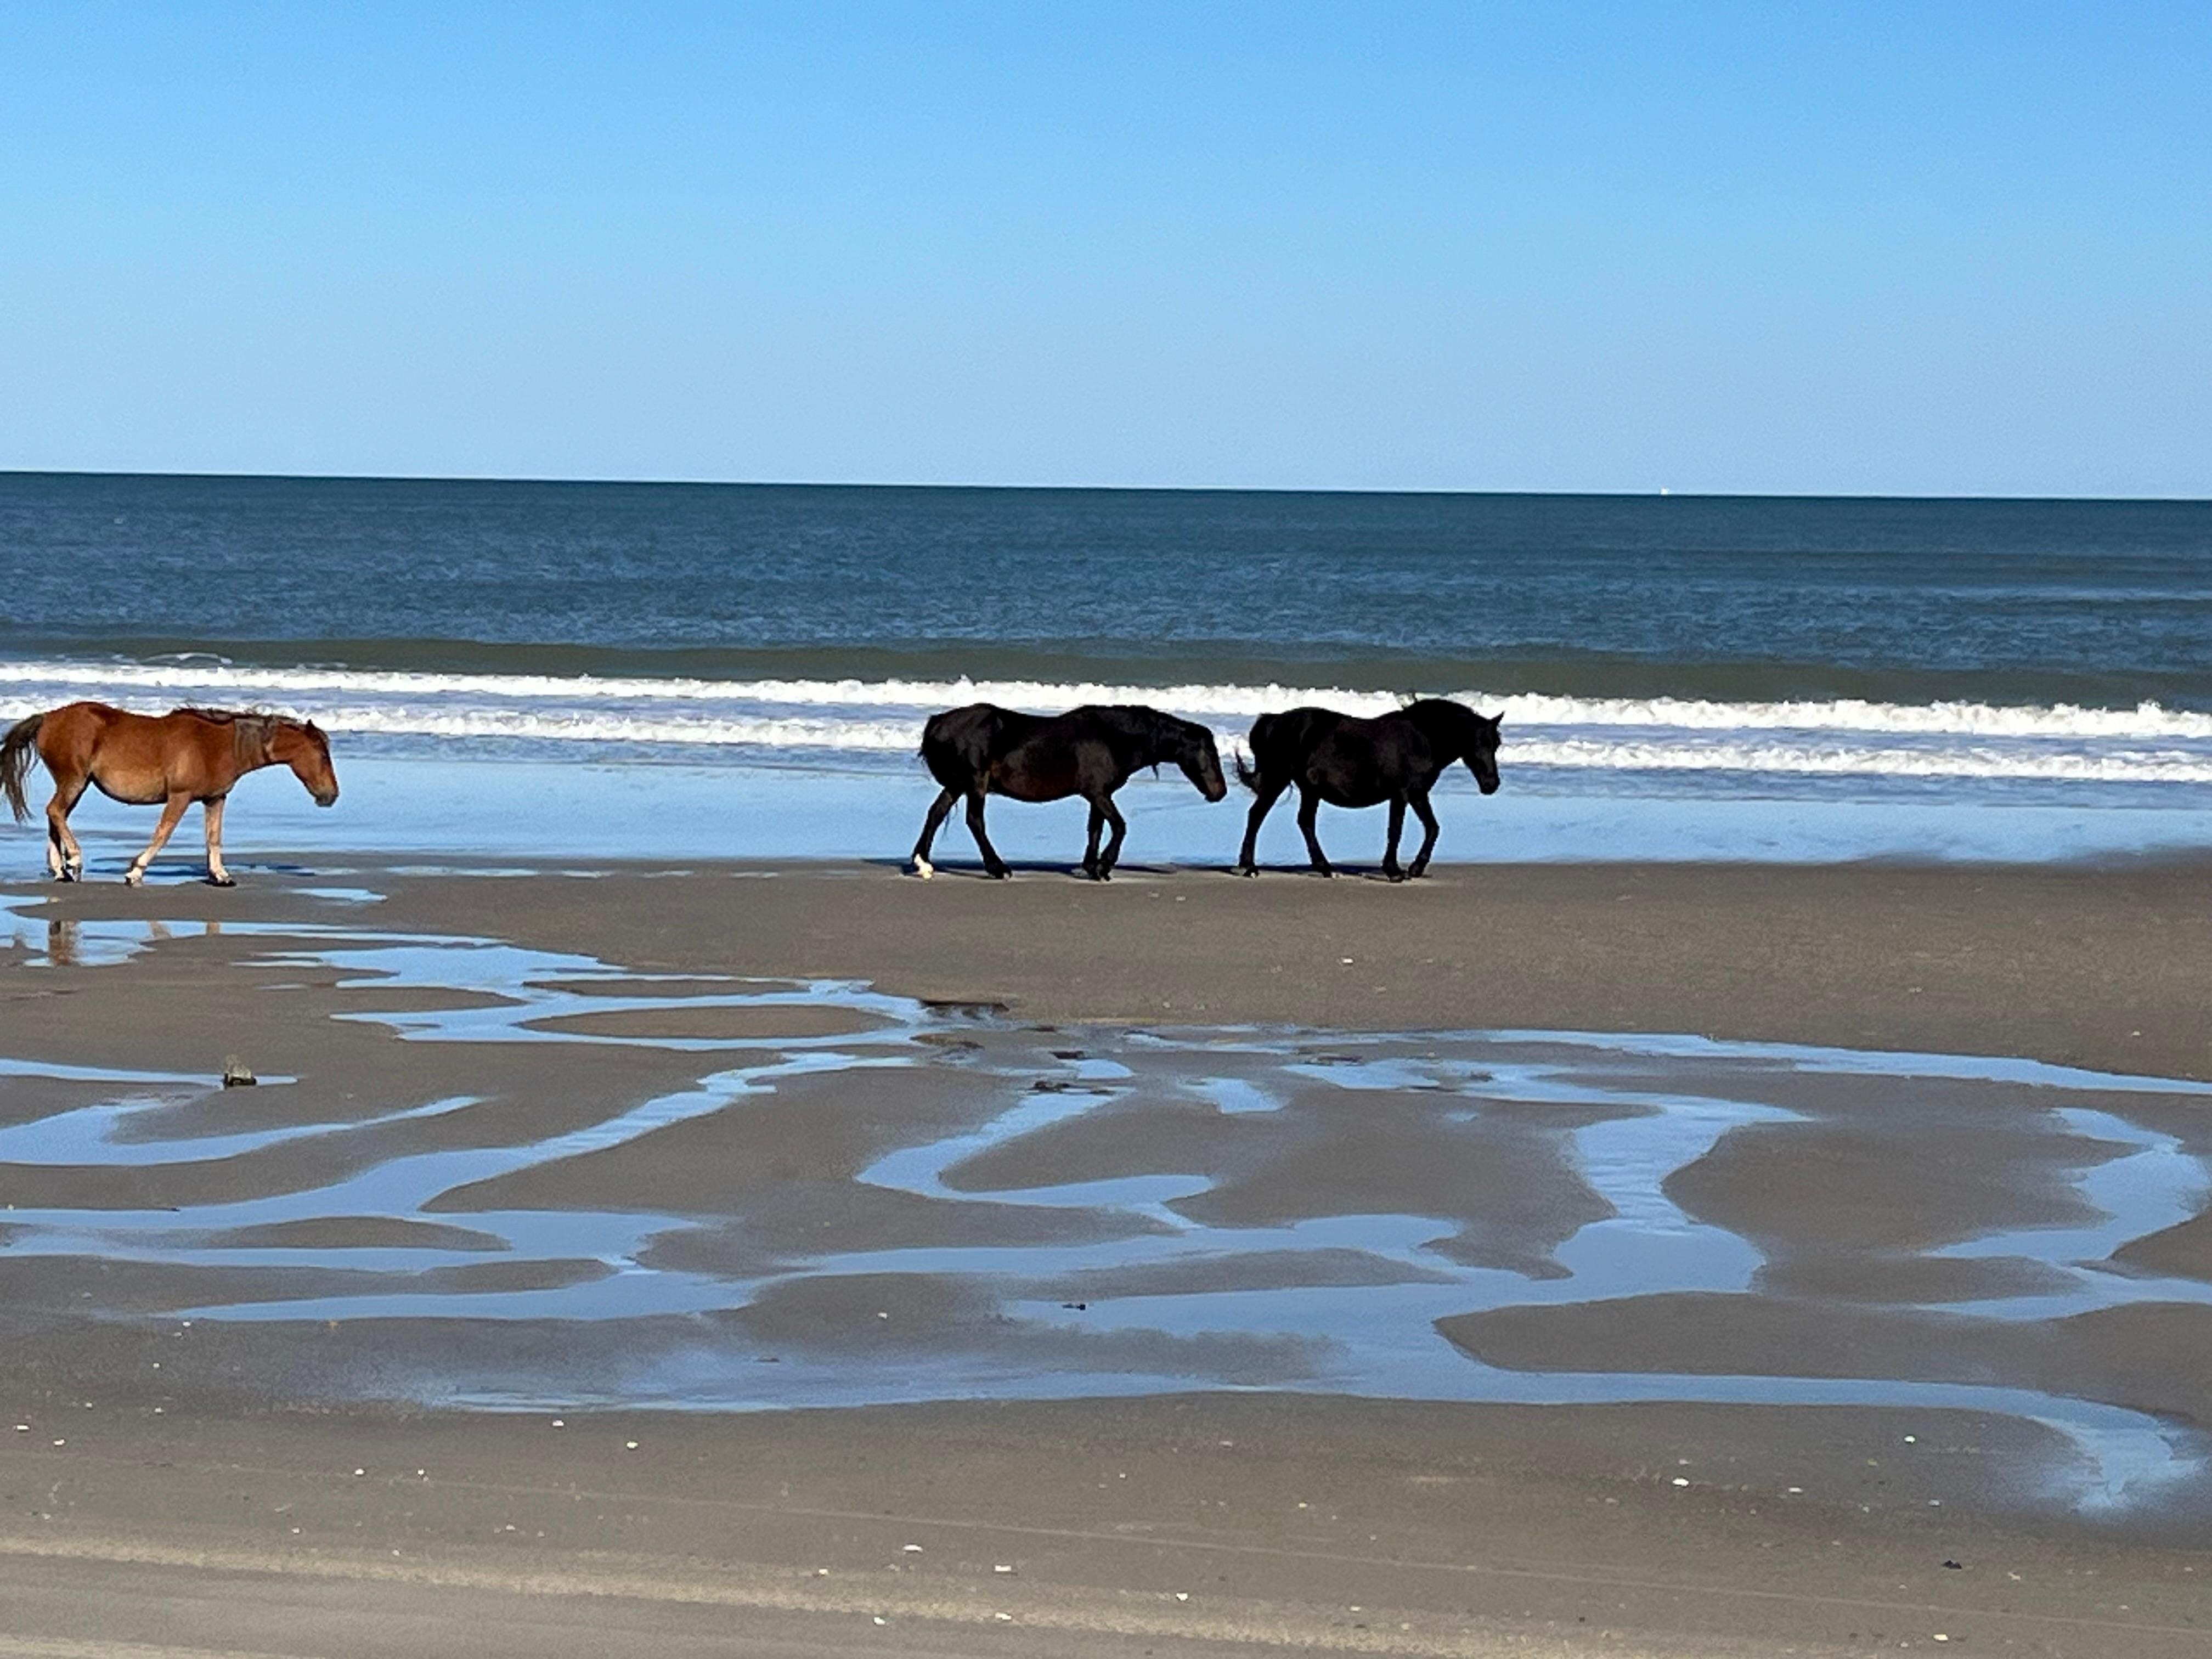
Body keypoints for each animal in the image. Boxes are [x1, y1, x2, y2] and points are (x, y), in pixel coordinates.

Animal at [2, 701, 339, 886]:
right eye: (323, 755)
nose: (331, 795)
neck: (221, 745)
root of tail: (48, 717)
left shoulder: (215, 798)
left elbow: (214, 838)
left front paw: (221, 876)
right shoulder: (180, 796)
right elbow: (163, 834)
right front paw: (135, 871)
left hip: (78, 784)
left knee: (55, 816)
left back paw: (60, 870)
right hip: (73, 781)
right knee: (56, 812)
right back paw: (74, 860)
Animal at [912, 703, 1227, 880]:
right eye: (1209, 753)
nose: (1220, 792)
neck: (1112, 738)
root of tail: (938, 722)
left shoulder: (1098, 795)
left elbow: (1096, 829)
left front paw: (1092, 866)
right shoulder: (1098, 794)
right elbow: (1119, 826)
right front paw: (1104, 866)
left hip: (958, 785)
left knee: (935, 814)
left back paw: (923, 863)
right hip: (975, 783)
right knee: (975, 821)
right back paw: (997, 868)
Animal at [1234, 698, 1501, 880]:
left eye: (1496, 744)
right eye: (1477, 744)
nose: (1492, 784)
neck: (1421, 740)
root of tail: (1274, 720)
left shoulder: (1418, 794)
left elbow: (1433, 828)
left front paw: (1415, 868)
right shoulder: (1401, 794)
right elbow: (1395, 830)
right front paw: (1394, 871)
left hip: (1310, 790)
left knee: (1305, 822)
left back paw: (1325, 868)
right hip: (1277, 780)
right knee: (1257, 816)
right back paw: (1249, 867)